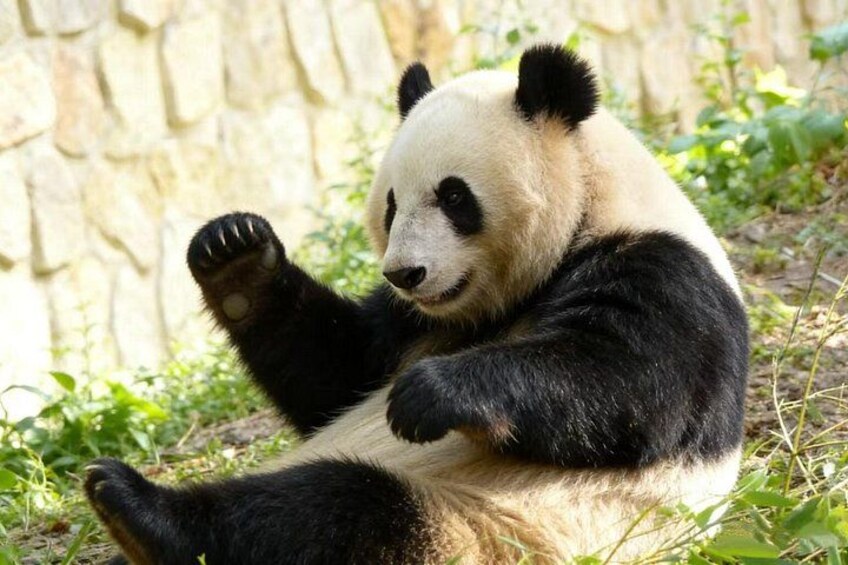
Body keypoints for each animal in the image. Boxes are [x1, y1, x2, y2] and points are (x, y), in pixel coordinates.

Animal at [85, 44, 749, 564]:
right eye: (391, 205)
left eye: (454, 196)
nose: (405, 273)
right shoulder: (410, 324)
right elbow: (335, 376)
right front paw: (234, 257)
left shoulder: (667, 271)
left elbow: (631, 383)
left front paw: (432, 393)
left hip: (481, 528)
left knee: (336, 513)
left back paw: (142, 512)